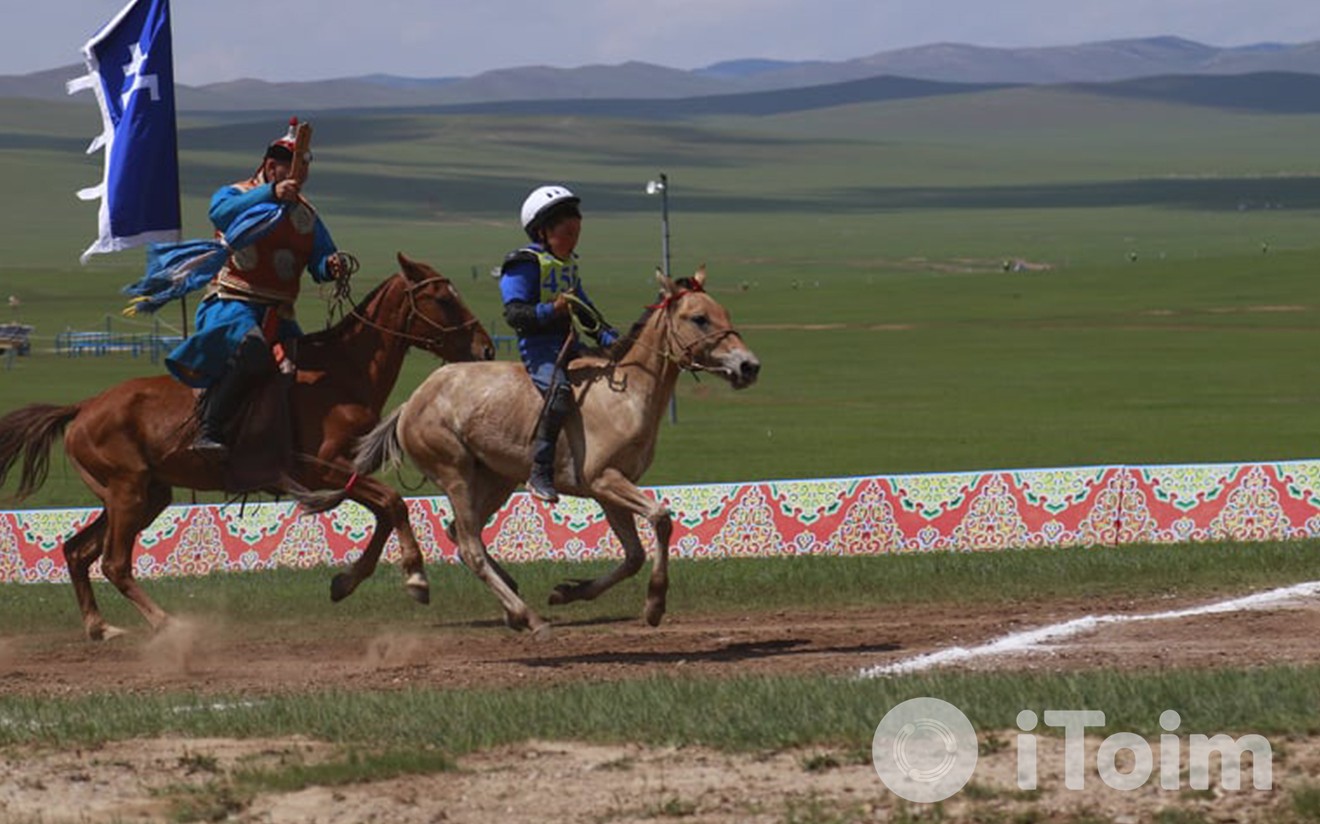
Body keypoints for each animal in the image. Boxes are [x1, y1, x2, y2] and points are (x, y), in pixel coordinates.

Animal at [0, 254, 493, 641]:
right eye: (443, 299)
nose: (486, 348)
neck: (342, 372)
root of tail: (83, 407)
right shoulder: (322, 469)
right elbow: (393, 503)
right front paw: (415, 577)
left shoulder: (343, 473)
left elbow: (385, 513)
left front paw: (346, 582)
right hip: (128, 492)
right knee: (114, 563)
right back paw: (166, 624)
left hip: (144, 495)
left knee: (77, 552)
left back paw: (100, 627)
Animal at [330, 266, 765, 633]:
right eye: (699, 318)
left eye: (723, 312)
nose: (749, 366)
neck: (626, 394)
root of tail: (411, 403)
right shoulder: (606, 480)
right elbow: (660, 518)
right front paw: (655, 604)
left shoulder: (608, 490)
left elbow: (633, 556)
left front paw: (568, 592)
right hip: (456, 475)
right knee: (469, 546)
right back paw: (527, 617)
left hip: (496, 480)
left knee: (461, 534)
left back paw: (511, 604)